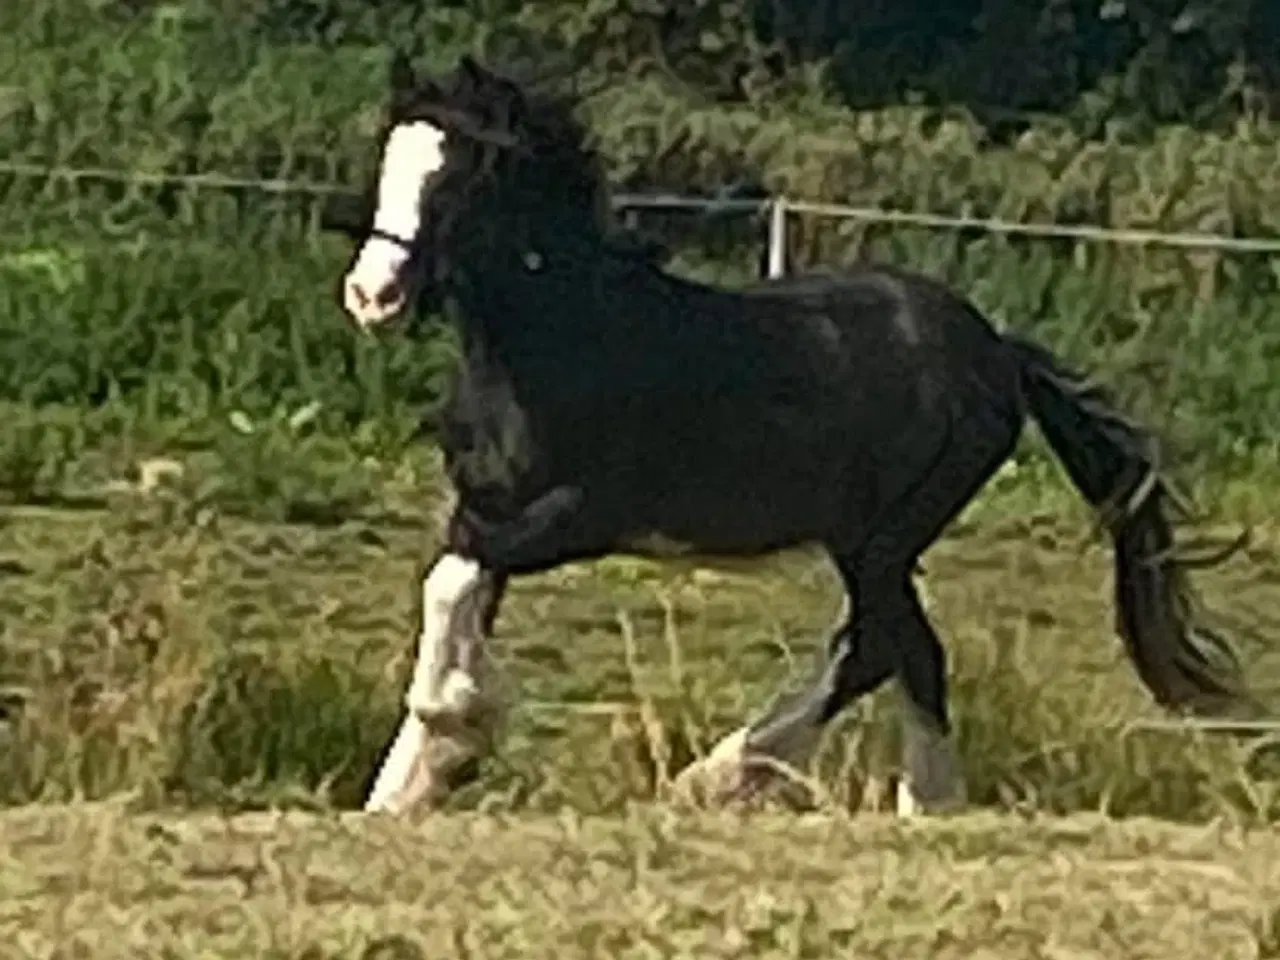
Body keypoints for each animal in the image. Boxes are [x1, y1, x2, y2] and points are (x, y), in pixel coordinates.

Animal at [322, 54, 1249, 819]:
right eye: (393, 158)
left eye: (464, 174)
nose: (372, 296)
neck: (564, 338)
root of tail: (998, 351)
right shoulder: (486, 507)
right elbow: (456, 590)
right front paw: (413, 781)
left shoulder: (577, 517)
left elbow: (451, 583)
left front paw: (450, 731)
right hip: (863, 541)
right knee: (898, 649)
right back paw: (896, 800)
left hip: (882, 538)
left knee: (882, 647)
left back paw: (743, 779)